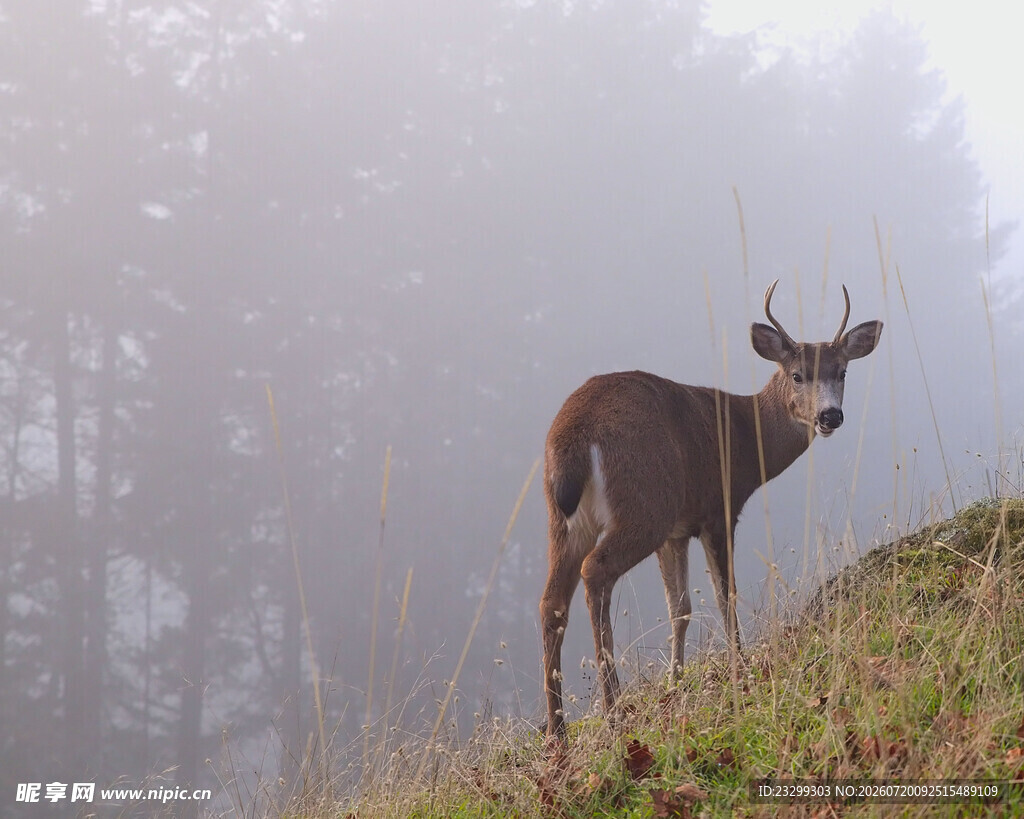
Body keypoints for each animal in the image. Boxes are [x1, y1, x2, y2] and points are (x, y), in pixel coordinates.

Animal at [539, 280, 883, 738]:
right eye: (797, 374)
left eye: (841, 371)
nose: (830, 415)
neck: (745, 433)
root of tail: (573, 437)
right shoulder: (718, 509)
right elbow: (725, 594)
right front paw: (741, 667)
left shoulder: (676, 531)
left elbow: (680, 608)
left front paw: (676, 681)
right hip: (644, 506)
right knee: (594, 571)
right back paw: (613, 711)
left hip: (565, 519)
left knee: (551, 601)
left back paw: (557, 729)